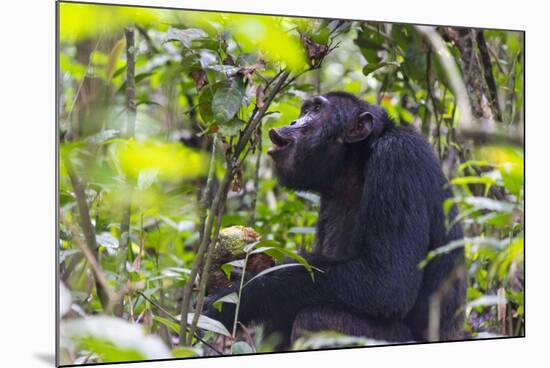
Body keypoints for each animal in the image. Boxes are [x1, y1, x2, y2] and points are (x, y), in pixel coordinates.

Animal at [205, 91, 468, 348]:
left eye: (317, 110)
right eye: (305, 110)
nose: (294, 122)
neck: (357, 165)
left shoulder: (398, 161)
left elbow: (388, 281)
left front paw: (237, 297)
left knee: (316, 318)